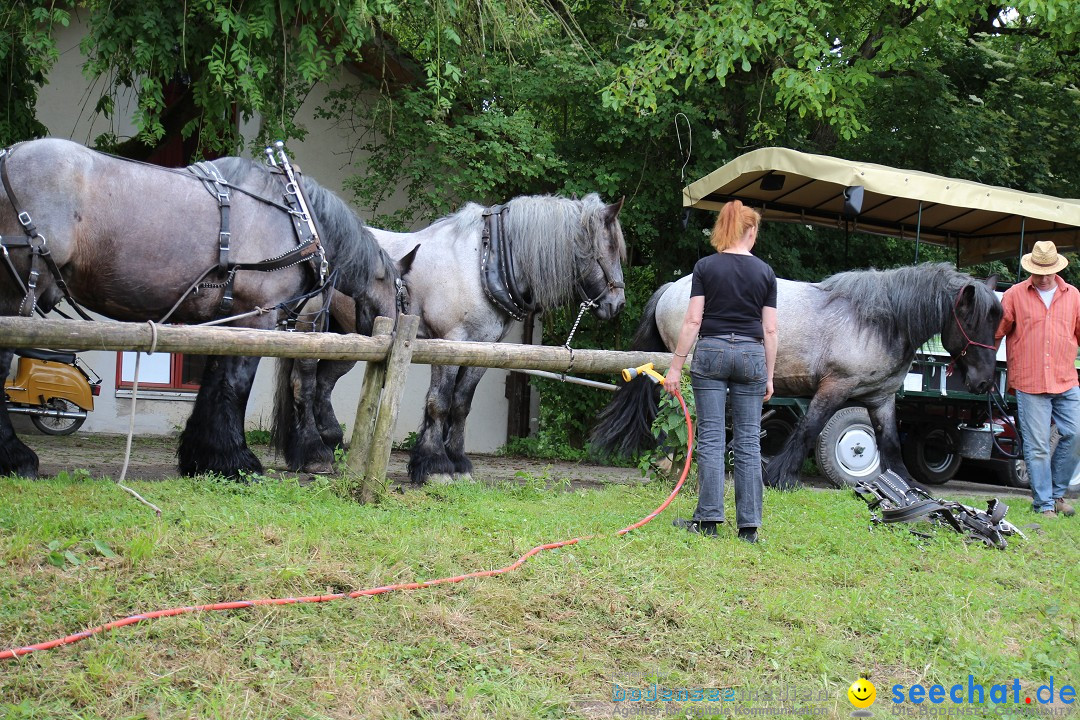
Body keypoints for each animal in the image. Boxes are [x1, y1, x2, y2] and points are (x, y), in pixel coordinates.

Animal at [0, 139, 406, 481]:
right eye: (402, 295)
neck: (296, 215)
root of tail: (8, 156)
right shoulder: (256, 317)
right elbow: (236, 386)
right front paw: (238, 461)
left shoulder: (224, 322)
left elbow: (214, 383)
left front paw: (206, 457)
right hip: (15, 296)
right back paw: (16, 458)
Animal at [270, 194, 630, 481]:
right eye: (608, 248)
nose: (617, 303)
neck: (480, 263)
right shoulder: (449, 341)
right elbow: (438, 402)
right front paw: (435, 465)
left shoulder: (482, 349)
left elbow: (460, 404)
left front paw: (457, 462)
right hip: (310, 327)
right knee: (304, 384)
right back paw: (314, 454)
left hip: (349, 335)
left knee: (323, 384)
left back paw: (330, 446)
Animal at [591, 264, 1002, 490]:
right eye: (972, 321)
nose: (984, 382)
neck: (878, 319)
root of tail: (672, 288)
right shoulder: (835, 386)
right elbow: (808, 429)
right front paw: (779, 476)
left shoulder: (881, 398)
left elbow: (891, 446)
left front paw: (909, 487)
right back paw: (670, 464)